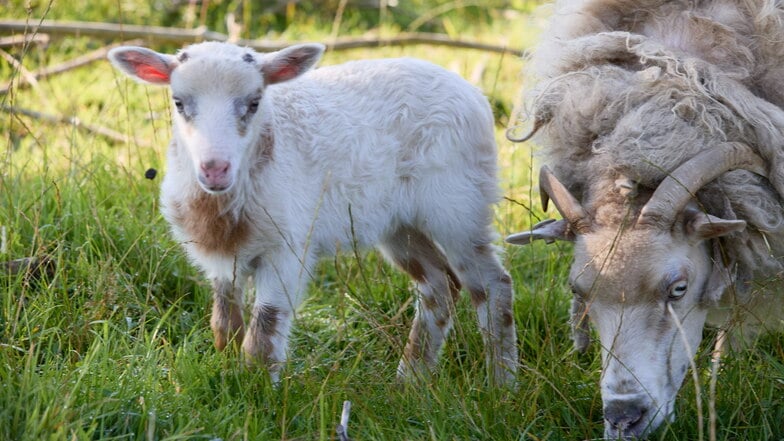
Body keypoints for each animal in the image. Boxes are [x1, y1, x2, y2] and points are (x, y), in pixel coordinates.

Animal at [107, 41, 516, 384]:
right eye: (178, 103)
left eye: (254, 102)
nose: (214, 169)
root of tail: (471, 91)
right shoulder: (223, 259)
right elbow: (225, 324)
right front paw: (227, 375)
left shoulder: (286, 248)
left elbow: (263, 334)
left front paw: (257, 395)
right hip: (399, 223)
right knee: (439, 285)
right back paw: (410, 382)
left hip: (459, 203)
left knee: (492, 285)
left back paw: (501, 385)